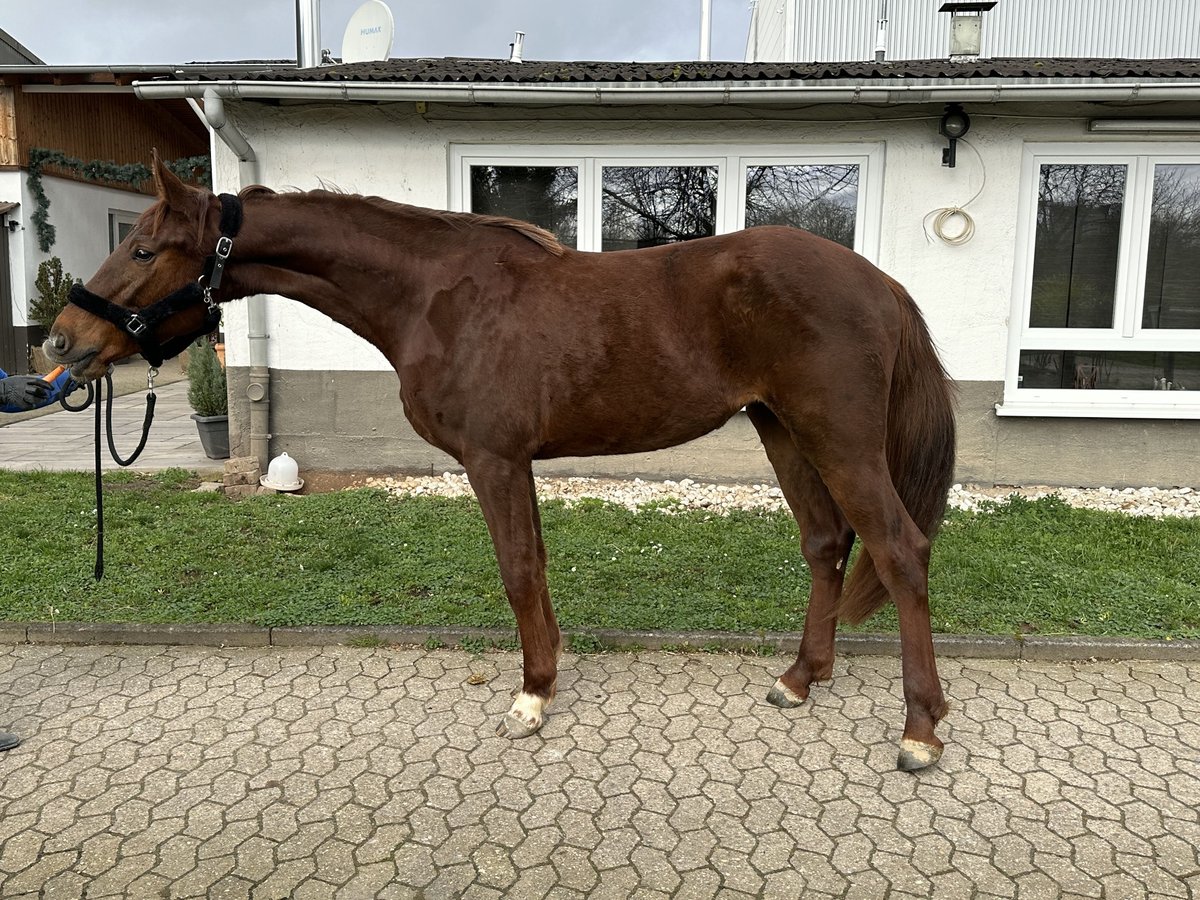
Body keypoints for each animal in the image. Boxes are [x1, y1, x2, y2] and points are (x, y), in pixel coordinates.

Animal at [49, 154, 955, 768]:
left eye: (143, 250)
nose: (63, 343)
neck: (435, 297)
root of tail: (880, 282)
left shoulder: (493, 459)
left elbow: (518, 570)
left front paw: (530, 698)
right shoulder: (514, 461)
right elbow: (537, 567)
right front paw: (544, 680)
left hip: (837, 438)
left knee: (900, 550)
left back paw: (919, 730)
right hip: (783, 430)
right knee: (827, 545)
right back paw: (801, 678)